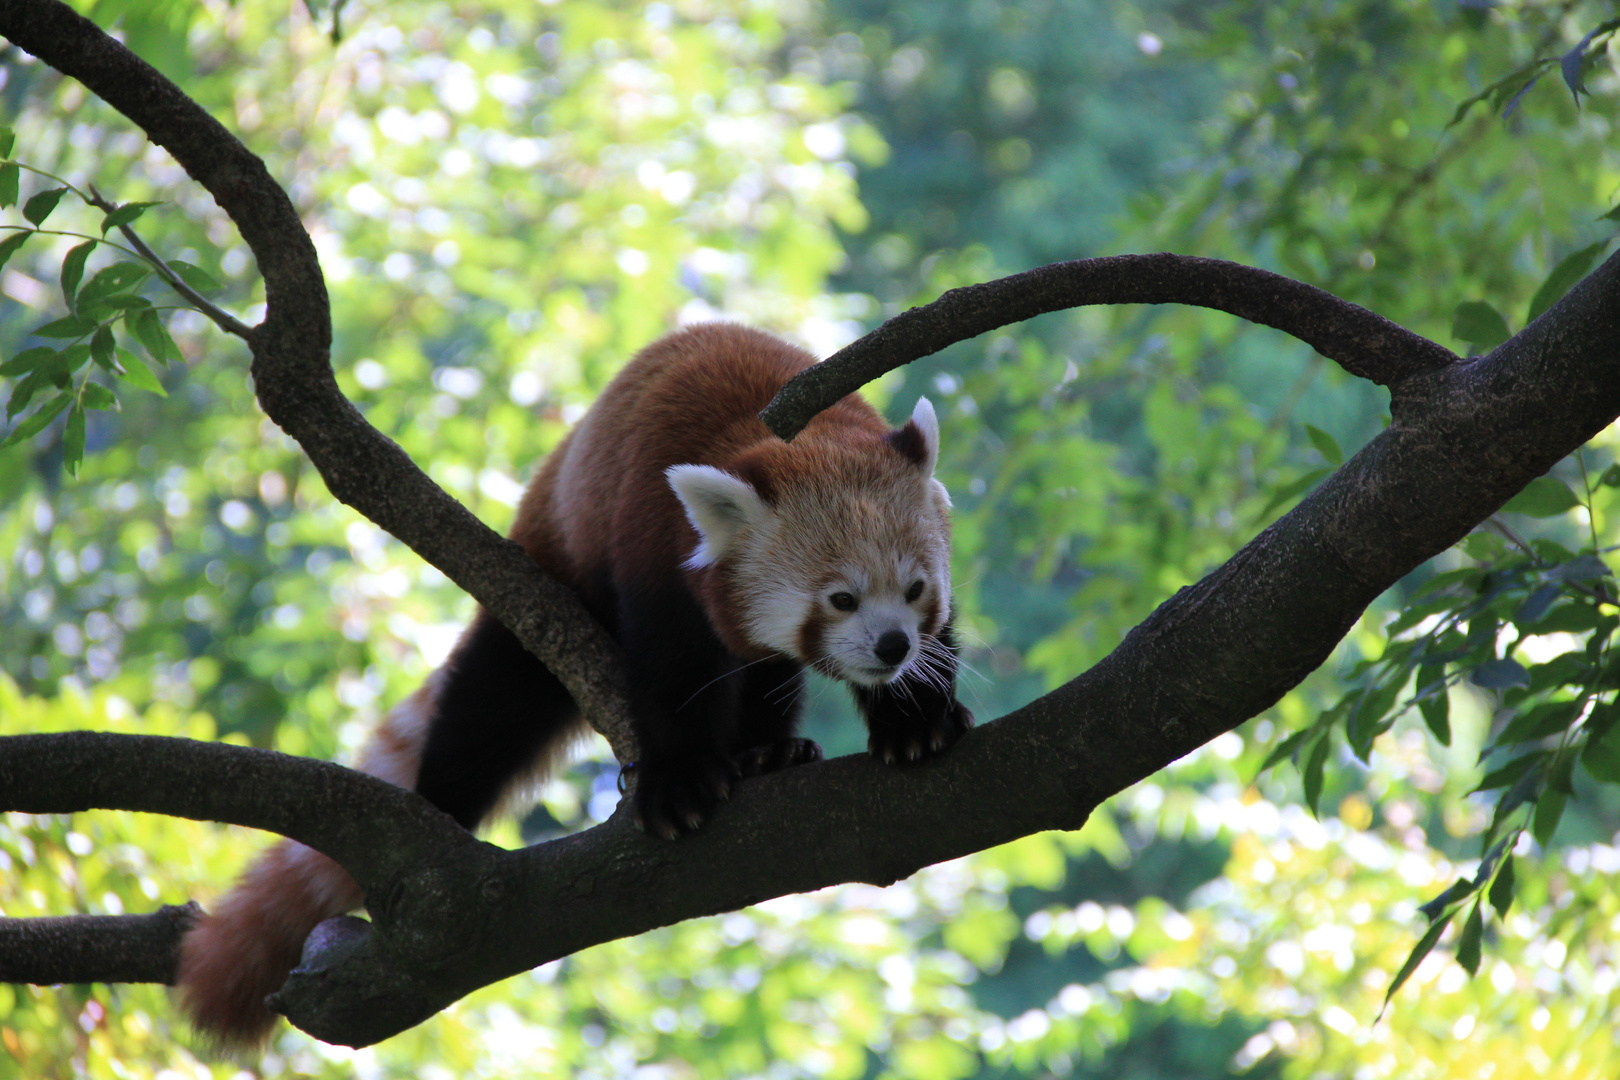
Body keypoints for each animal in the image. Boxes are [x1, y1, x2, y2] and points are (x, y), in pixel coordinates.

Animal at [183, 323, 978, 1049]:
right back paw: (440, 805)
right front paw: (679, 782)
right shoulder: (652, 543)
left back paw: (768, 753)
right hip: (543, 572)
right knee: (491, 706)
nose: (892, 645)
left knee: (764, 678)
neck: (795, 431)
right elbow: (669, 677)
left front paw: (915, 720)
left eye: (915, 591)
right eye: (840, 599)